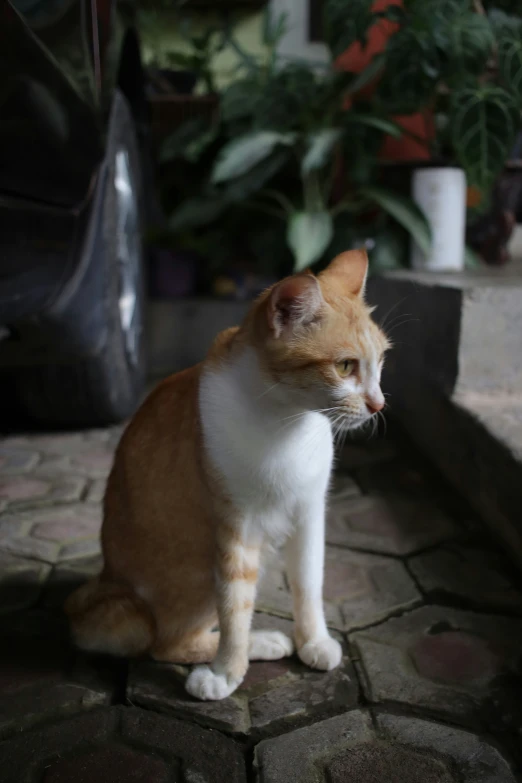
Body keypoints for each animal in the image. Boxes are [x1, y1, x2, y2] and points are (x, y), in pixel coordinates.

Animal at [65, 248, 388, 700]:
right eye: (344, 367)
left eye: (381, 361)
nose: (378, 404)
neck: (287, 423)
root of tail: (108, 582)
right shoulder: (236, 529)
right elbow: (235, 606)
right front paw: (227, 672)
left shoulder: (309, 514)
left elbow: (310, 583)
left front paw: (314, 640)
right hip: (198, 567)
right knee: (166, 643)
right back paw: (257, 643)